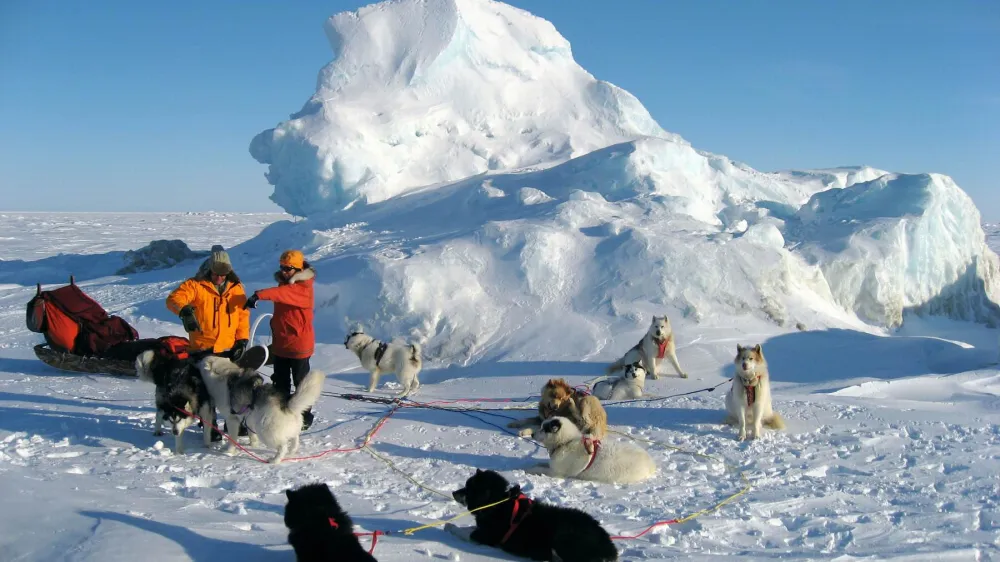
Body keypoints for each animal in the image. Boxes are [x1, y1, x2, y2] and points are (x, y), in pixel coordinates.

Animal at [446, 468, 616, 560]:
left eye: (468, 488)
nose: (453, 492)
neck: (498, 502)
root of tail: (606, 543)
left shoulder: (485, 535)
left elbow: (466, 532)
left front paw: (449, 526)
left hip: (562, 533)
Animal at [524, 414, 656, 484]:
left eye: (544, 429)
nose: (532, 434)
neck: (566, 442)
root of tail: (650, 463)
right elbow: (541, 464)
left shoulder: (556, 473)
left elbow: (539, 469)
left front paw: (528, 469)